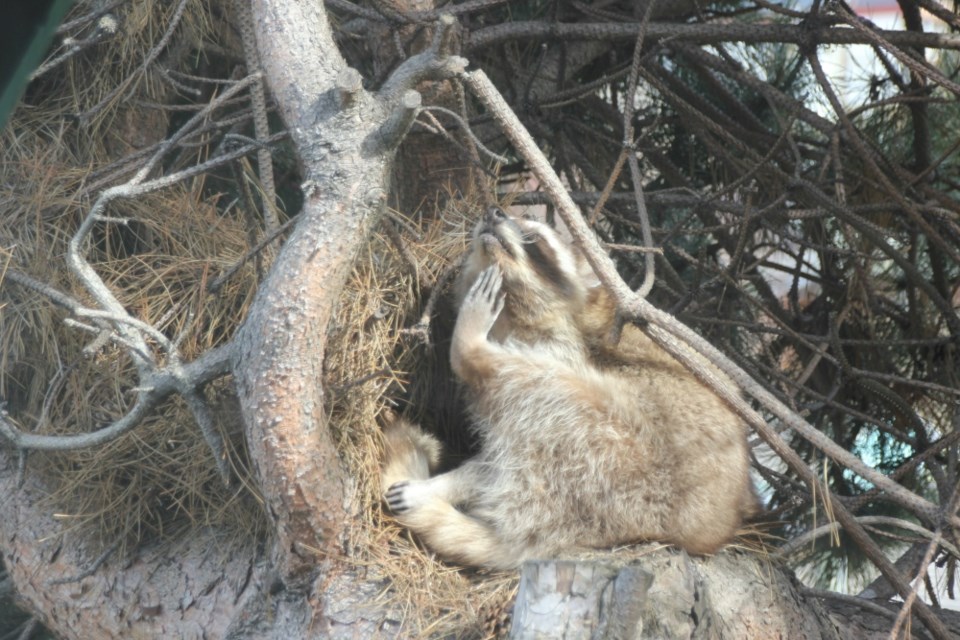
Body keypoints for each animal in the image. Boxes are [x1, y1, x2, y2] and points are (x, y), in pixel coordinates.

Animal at [382, 208, 756, 568]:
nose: (493, 211)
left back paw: (469, 346)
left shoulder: (565, 348)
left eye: (534, 239)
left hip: (620, 454)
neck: (514, 313)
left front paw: (447, 484)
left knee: (528, 383)